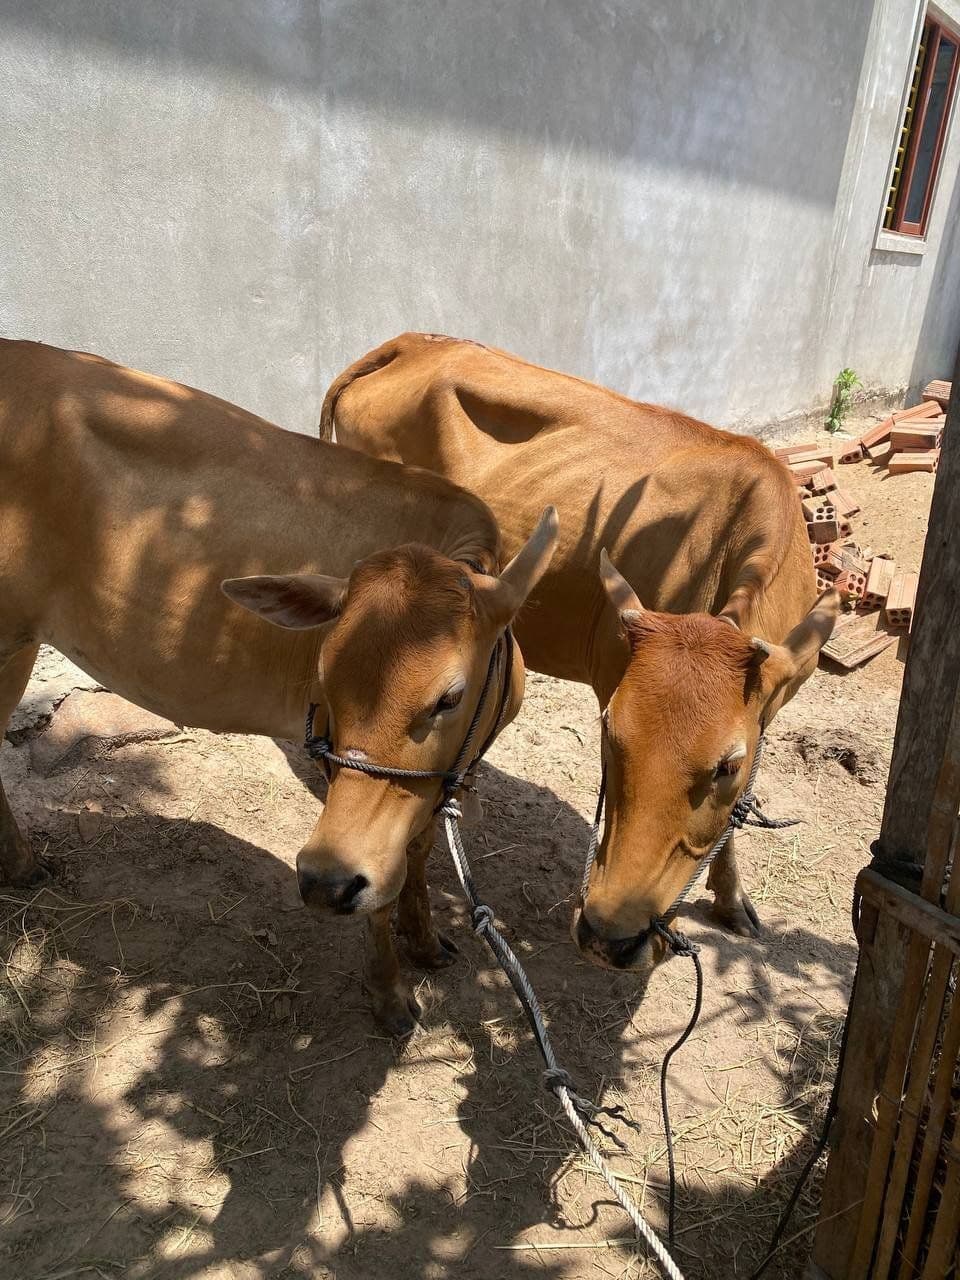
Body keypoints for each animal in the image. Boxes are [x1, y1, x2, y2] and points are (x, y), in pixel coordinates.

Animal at [0, 339, 558, 1034]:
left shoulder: (434, 779)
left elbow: (418, 852)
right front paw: (389, 995)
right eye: (325, 682)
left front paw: (426, 941)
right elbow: (384, 883)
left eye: (448, 698)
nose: (322, 883)